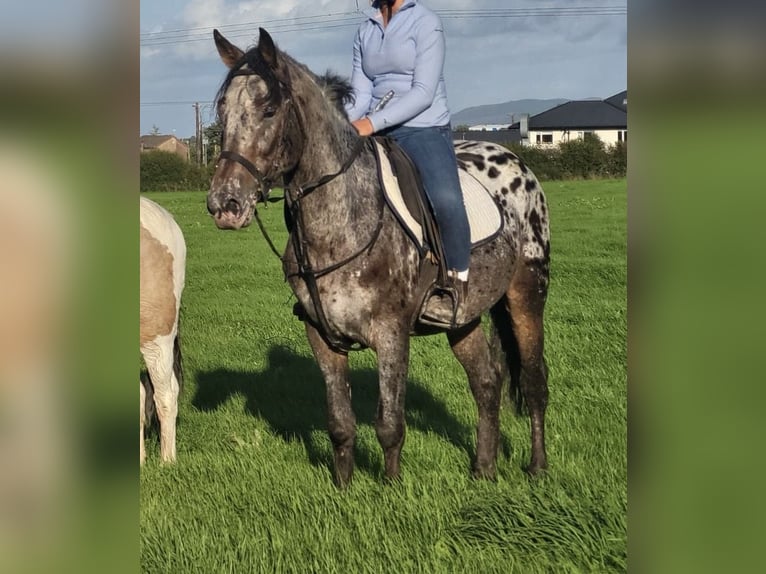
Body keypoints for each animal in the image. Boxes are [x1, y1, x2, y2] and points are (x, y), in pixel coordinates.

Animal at [206, 28, 551, 486]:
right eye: (223, 110)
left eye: (269, 108)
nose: (225, 204)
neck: (342, 219)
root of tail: (516, 160)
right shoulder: (321, 335)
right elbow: (340, 423)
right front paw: (343, 488)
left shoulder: (391, 334)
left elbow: (389, 424)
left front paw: (390, 489)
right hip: (464, 317)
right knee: (486, 382)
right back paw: (483, 469)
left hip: (527, 294)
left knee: (532, 382)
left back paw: (537, 467)